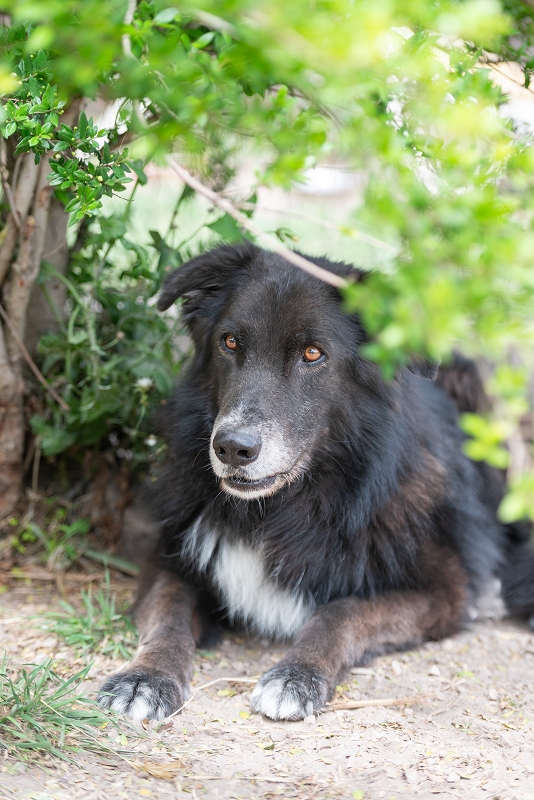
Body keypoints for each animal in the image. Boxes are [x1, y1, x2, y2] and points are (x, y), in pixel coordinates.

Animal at [98, 243, 534, 722]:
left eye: (312, 354)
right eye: (229, 343)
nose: (232, 448)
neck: (283, 507)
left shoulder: (442, 590)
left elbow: (340, 613)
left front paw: (297, 675)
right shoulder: (173, 557)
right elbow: (169, 617)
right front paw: (146, 677)